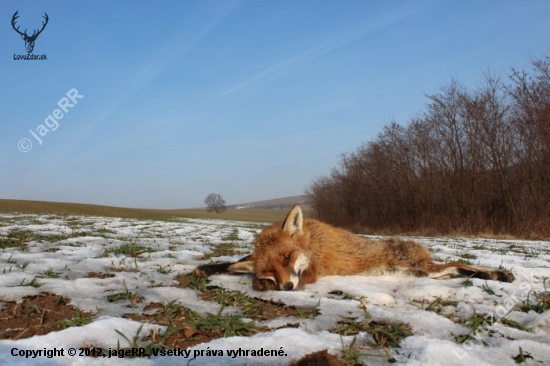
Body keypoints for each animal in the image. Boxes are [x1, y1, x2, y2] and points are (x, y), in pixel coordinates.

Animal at [195, 204, 516, 290]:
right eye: (270, 268)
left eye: (288, 256)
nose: (286, 287)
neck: (312, 242)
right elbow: (235, 262)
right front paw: (209, 267)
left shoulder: (312, 272)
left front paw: (259, 286)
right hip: (421, 273)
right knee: (453, 271)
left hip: (420, 269)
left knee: (457, 265)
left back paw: (496, 274)